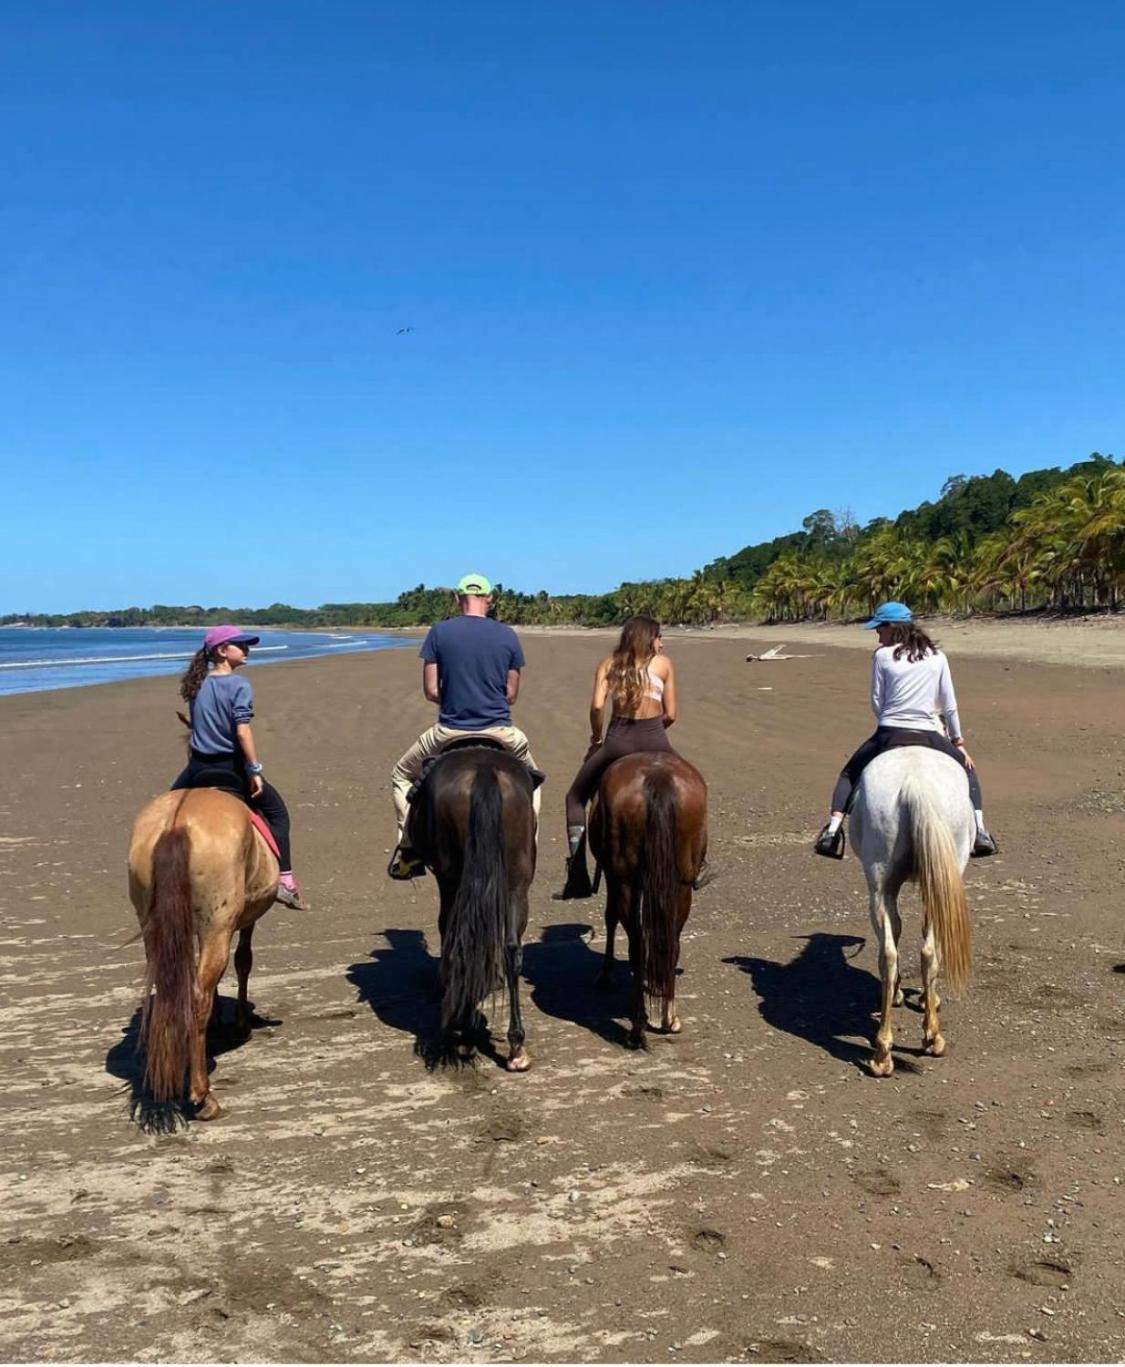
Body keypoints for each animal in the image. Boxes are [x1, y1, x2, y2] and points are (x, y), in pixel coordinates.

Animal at [125, 787, 277, 1115]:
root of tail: (176, 825)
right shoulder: (240, 922)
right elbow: (243, 961)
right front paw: (241, 1024)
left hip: (156, 928)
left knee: (173, 991)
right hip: (217, 927)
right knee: (197, 997)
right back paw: (203, 1095)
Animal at [410, 743, 541, 1071]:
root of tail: (484, 771)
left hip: (452, 876)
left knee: (462, 940)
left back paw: (465, 1034)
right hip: (517, 882)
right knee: (511, 949)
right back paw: (516, 1047)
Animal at [585, 749, 710, 1044]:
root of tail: (658, 777)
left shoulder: (612, 876)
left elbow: (609, 917)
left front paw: (605, 976)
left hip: (625, 880)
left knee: (637, 942)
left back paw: (637, 1027)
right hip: (680, 884)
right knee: (671, 943)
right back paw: (668, 1018)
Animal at [847, 749, 973, 1077]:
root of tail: (915, 783)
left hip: (881, 887)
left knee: (892, 953)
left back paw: (885, 1050)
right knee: (923, 952)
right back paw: (926, 1038)